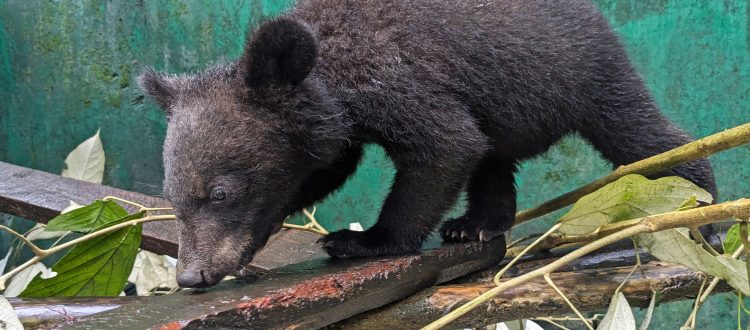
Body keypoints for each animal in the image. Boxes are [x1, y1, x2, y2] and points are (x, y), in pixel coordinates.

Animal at [140, 0, 716, 288]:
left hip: (588, 74)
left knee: (642, 135)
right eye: (172, 197)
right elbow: (325, 168)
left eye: (220, 193)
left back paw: (701, 212)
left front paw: (363, 241)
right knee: (492, 159)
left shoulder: (396, 80)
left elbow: (445, 145)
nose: (190, 276)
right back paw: (475, 224)